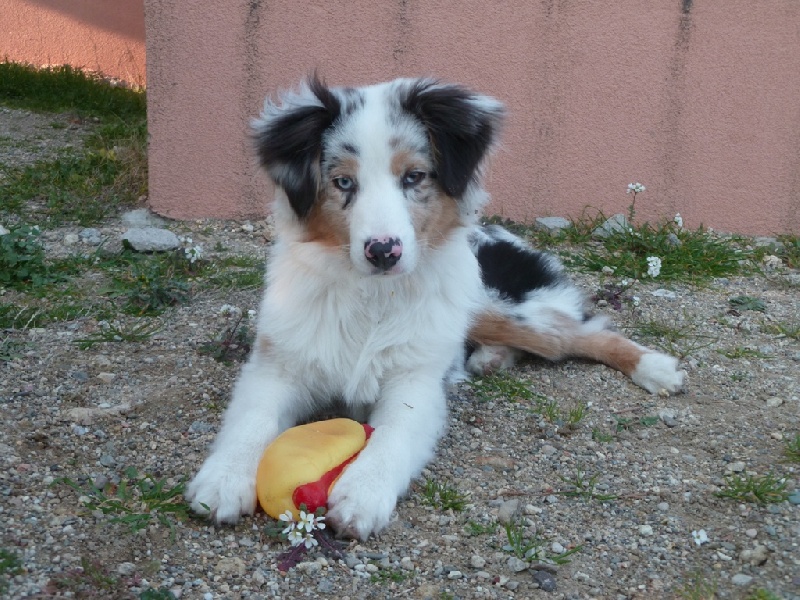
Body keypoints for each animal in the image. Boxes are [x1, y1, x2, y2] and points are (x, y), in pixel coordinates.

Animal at [184, 75, 684, 540]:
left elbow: (393, 436)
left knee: (574, 334)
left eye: (413, 177)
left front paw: (363, 494)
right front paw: (223, 480)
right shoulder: (278, 364)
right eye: (343, 181)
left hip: (489, 303)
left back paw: (656, 368)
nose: (383, 251)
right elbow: (251, 421)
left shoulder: (416, 382)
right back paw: (488, 359)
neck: (371, 298)